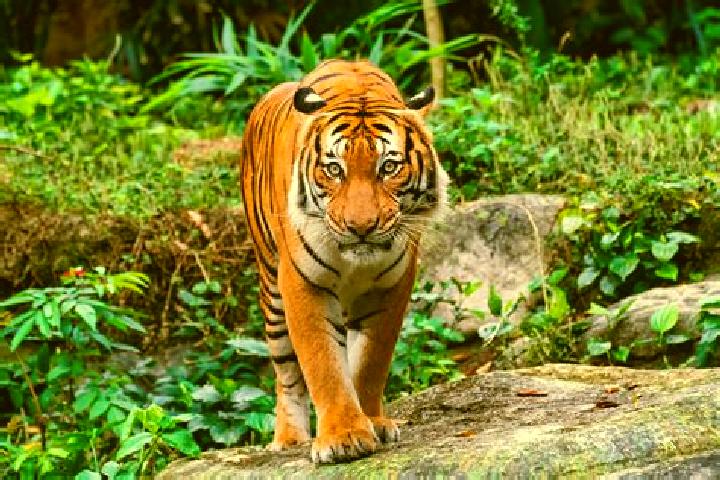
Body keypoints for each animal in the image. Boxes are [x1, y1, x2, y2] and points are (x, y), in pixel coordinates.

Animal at [240, 59, 448, 464]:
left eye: (388, 167)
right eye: (335, 170)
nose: (361, 227)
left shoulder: (391, 286)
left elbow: (369, 362)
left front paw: (373, 422)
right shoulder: (303, 283)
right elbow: (323, 362)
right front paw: (343, 437)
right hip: (272, 291)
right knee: (287, 374)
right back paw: (290, 439)